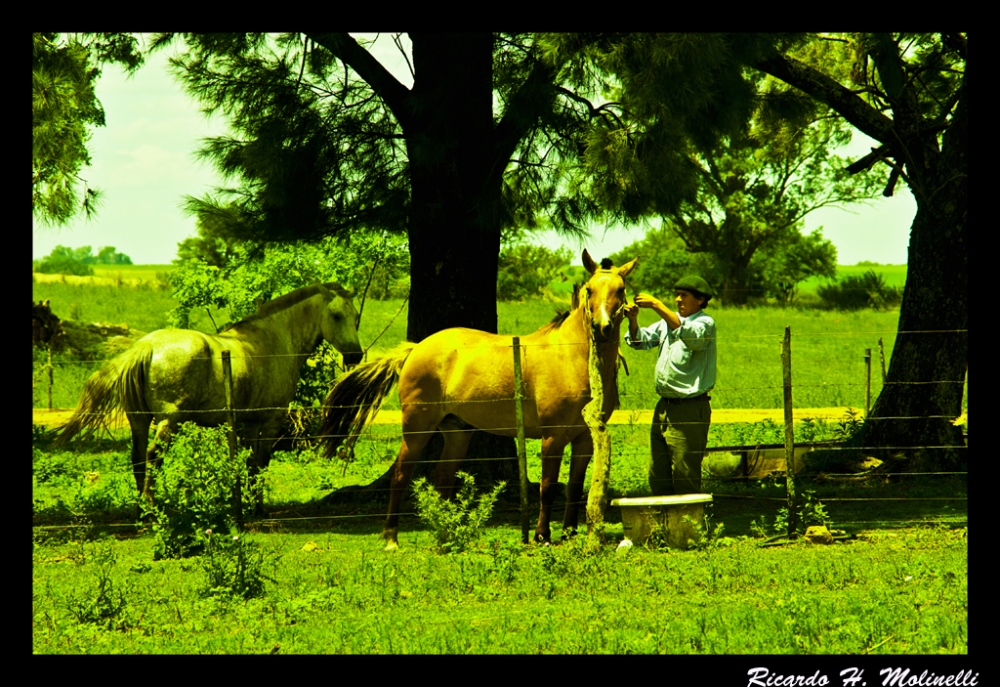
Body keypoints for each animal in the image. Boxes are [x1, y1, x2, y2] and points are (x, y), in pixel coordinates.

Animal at [54, 282, 364, 502]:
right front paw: (257, 507)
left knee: (138, 458)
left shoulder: (247, 424)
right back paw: (152, 507)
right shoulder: (268, 421)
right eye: (336, 315)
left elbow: (249, 465)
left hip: (139, 421)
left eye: (356, 315)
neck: (271, 340)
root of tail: (147, 346)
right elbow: (260, 464)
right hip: (170, 421)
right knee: (153, 456)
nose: (356, 355)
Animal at [320, 253, 636, 548]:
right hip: (417, 427)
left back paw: (446, 531)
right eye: (589, 289)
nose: (603, 326)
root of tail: (416, 348)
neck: (570, 355)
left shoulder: (583, 439)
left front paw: (569, 533)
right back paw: (390, 537)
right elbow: (548, 487)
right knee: (401, 474)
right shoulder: (553, 437)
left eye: (620, 289)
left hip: (457, 432)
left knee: (443, 477)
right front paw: (542, 536)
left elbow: (574, 487)